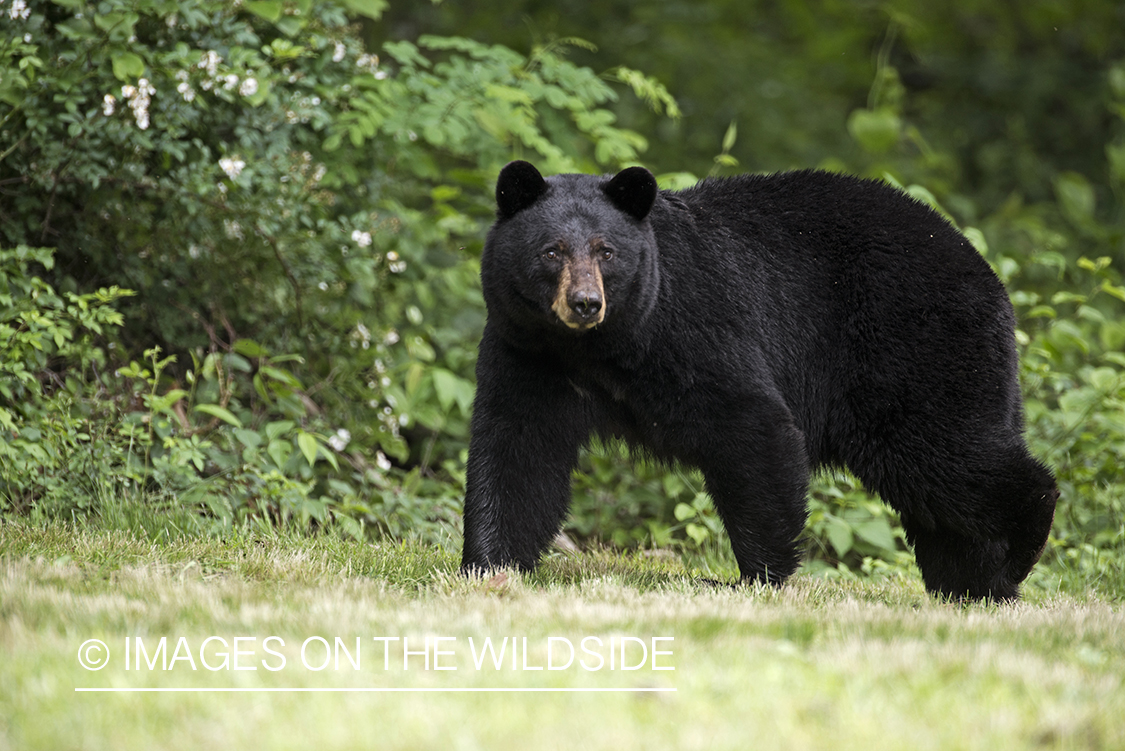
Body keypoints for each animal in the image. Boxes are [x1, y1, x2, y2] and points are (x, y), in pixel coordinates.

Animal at [461, 161, 1057, 602]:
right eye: (552, 250)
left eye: (607, 251)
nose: (585, 303)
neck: (598, 348)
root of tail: (989, 277)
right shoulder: (527, 350)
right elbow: (518, 449)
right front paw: (489, 566)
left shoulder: (693, 328)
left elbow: (753, 426)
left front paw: (756, 576)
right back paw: (972, 583)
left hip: (913, 351)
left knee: (946, 452)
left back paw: (1017, 555)